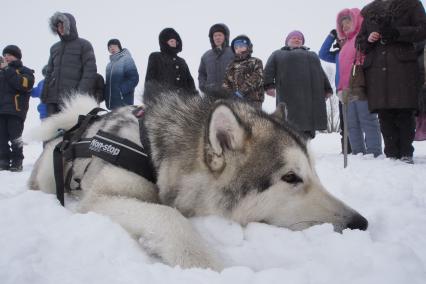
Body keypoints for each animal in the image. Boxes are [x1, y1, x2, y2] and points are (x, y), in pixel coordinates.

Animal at [29, 90, 366, 270]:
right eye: (291, 177)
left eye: (314, 172)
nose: (360, 223)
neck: (154, 153)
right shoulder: (101, 197)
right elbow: (169, 216)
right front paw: (208, 268)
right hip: (49, 176)